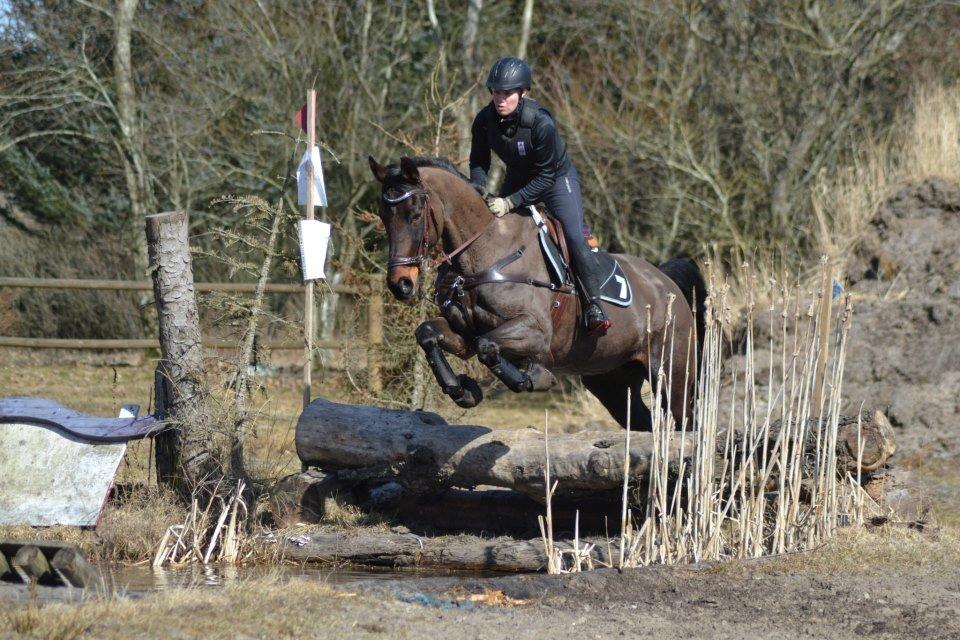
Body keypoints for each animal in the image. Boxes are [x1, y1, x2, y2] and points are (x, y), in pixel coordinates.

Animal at [368, 155, 704, 430]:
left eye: (414, 215)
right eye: (384, 216)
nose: (400, 284)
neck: (484, 251)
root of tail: (667, 283)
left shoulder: (535, 332)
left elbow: (489, 346)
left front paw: (534, 377)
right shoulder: (465, 333)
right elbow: (428, 334)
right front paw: (462, 390)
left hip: (672, 373)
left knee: (685, 421)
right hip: (612, 381)